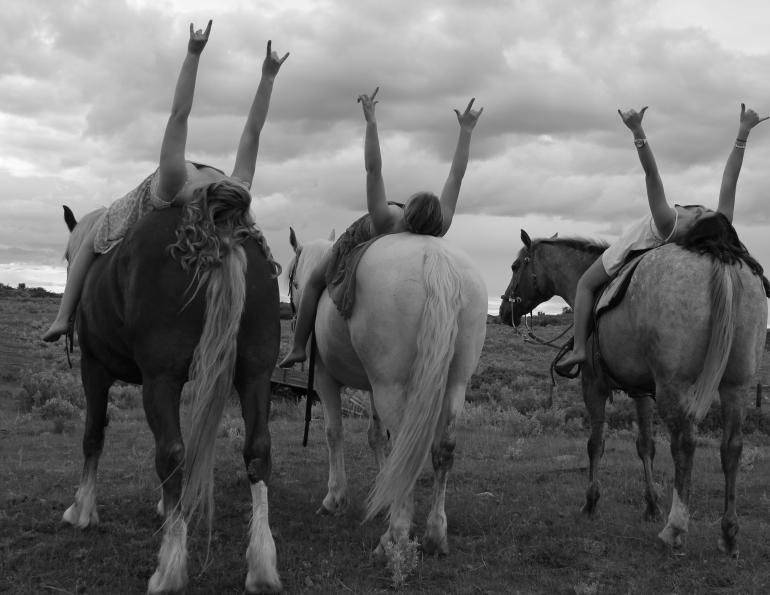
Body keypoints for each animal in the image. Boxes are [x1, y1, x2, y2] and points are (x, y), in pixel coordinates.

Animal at [59, 202, 282, 594]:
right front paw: (166, 506)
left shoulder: (95, 369)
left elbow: (93, 435)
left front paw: (82, 509)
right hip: (255, 375)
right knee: (257, 450)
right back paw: (261, 565)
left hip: (160, 379)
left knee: (171, 454)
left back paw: (170, 569)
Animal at [286, 228, 487, 555]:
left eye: (291, 281)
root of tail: (436, 257)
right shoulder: (372, 388)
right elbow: (377, 437)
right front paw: (383, 498)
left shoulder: (326, 380)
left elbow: (333, 433)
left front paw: (335, 499)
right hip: (454, 385)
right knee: (443, 449)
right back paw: (434, 534)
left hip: (391, 388)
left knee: (406, 450)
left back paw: (396, 535)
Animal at [499, 229, 767, 555]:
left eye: (515, 266)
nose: (503, 311)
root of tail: (719, 256)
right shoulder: (641, 392)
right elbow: (645, 446)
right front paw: (651, 505)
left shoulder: (593, 385)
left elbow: (595, 444)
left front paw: (591, 503)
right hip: (735, 386)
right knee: (732, 447)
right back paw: (728, 533)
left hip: (673, 387)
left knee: (685, 444)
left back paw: (675, 528)